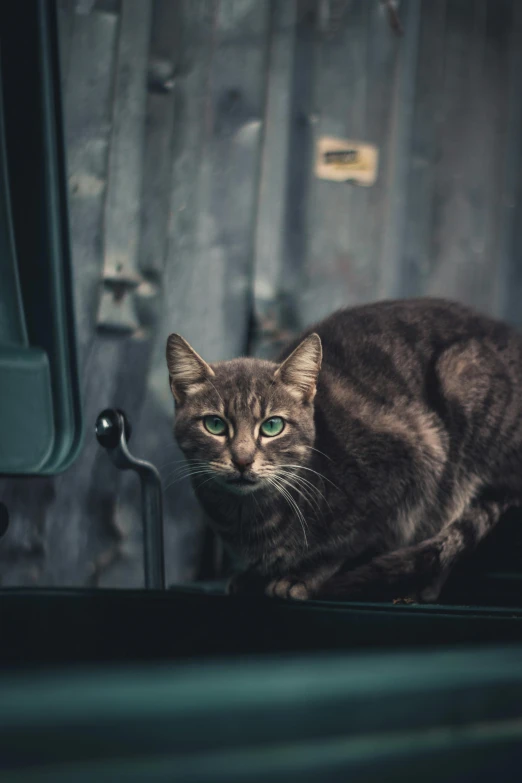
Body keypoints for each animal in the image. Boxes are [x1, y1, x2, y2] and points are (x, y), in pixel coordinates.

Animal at [165, 298, 520, 600]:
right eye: (214, 425)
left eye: (272, 426)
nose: (242, 459)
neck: (247, 517)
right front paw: (252, 576)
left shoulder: (412, 465)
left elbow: (351, 544)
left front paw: (303, 575)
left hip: (462, 379)